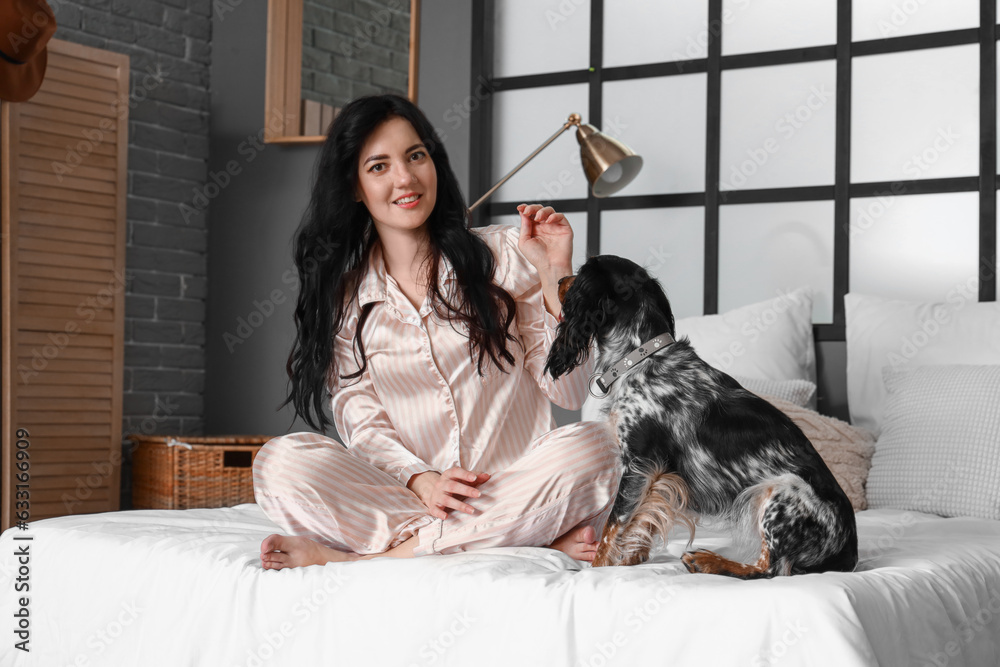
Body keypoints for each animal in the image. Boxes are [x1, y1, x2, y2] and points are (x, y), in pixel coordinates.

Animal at [544, 256, 856, 580]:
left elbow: (613, 524)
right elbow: (644, 517)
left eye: (581, 272)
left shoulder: (638, 463)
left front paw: (595, 569)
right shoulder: (657, 472)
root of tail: (850, 551)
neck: (641, 358)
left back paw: (707, 561)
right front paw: (631, 557)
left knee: (768, 569)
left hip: (782, 492)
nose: (558, 280)